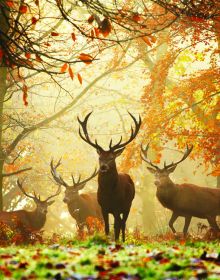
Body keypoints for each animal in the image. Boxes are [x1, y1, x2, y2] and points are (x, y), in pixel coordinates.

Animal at [77, 111, 141, 241]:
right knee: (120, 223)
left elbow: (116, 226)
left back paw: (123, 240)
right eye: (100, 157)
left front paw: (116, 242)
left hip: (128, 205)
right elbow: (106, 227)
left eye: (111, 157)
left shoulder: (117, 207)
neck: (109, 194)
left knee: (122, 223)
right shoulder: (103, 207)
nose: (103, 167)